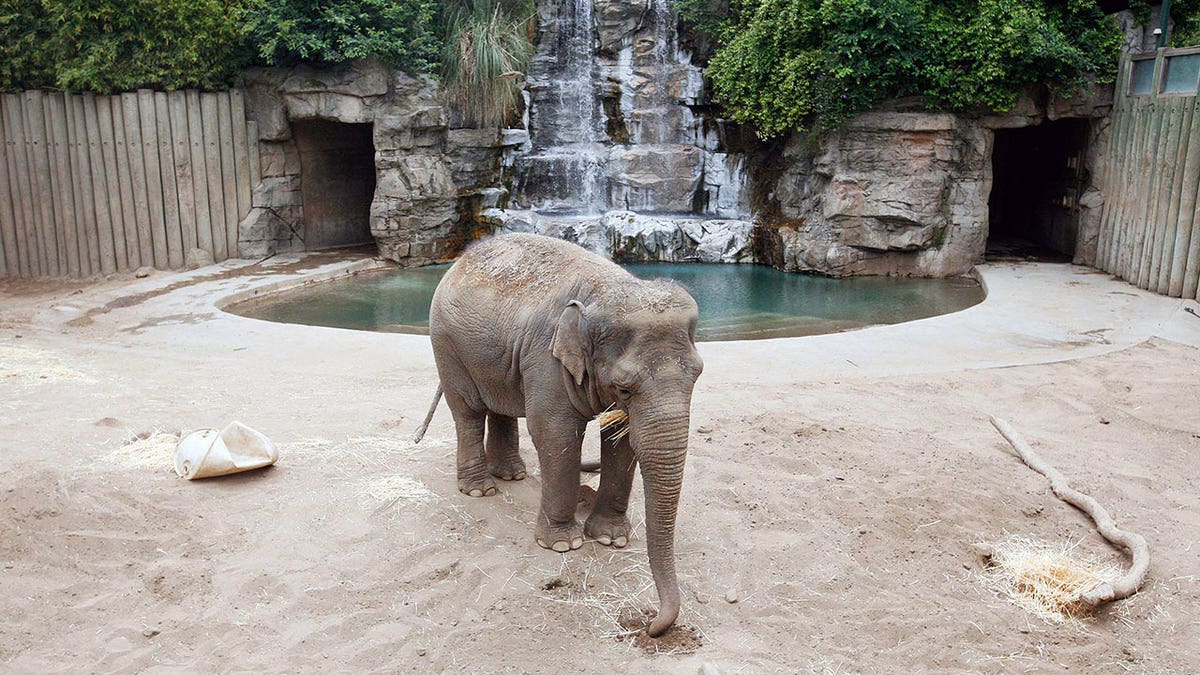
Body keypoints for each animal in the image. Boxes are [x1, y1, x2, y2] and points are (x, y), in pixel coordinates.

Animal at [417, 230, 700, 634]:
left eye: (698, 374)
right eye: (625, 388)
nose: (650, 625)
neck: (608, 289)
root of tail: (460, 260)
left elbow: (622, 442)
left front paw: (611, 539)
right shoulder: (546, 358)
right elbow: (556, 434)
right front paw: (564, 546)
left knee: (501, 406)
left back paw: (512, 475)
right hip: (446, 344)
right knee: (468, 411)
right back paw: (480, 489)